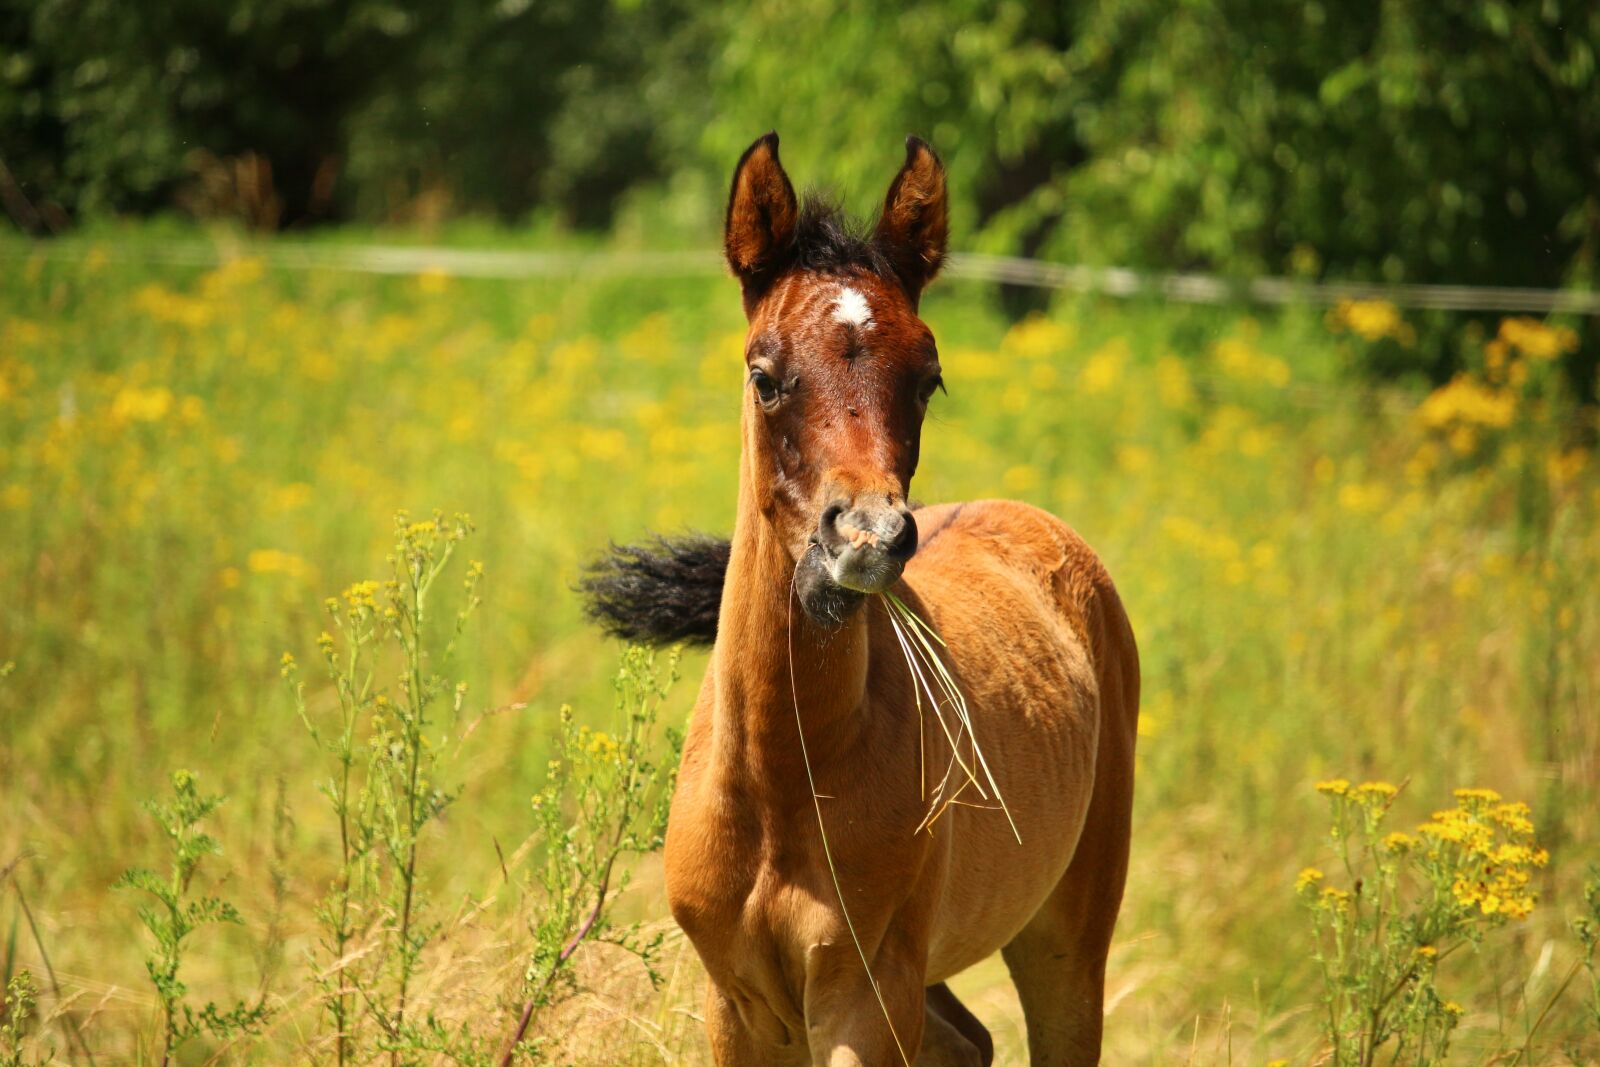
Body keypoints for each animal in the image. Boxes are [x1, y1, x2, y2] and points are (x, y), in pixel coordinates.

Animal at [582, 132, 1139, 1067]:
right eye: (764, 375)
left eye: (929, 377)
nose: (868, 536)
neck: (782, 780)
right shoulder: (737, 1005)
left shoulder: (864, 998)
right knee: (969, 1041)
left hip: (1064, 937)